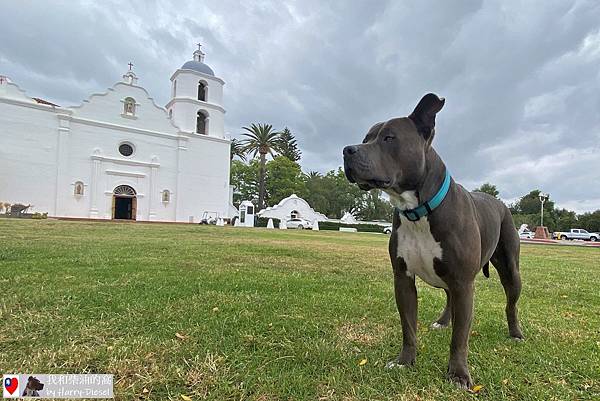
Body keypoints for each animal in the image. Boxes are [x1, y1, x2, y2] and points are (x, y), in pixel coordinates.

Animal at [344, 94, 524, 388]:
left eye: (389, 138)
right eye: (366, 137)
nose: (348, 150)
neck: (418, 210)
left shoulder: (464, 282)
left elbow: (460, 337)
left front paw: (459, 374)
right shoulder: (403, 279)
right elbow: (408, 327)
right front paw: (405, 361)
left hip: (510, 270)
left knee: (511, 304)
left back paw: (516, 333)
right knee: (450, 298)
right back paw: (443, 321)